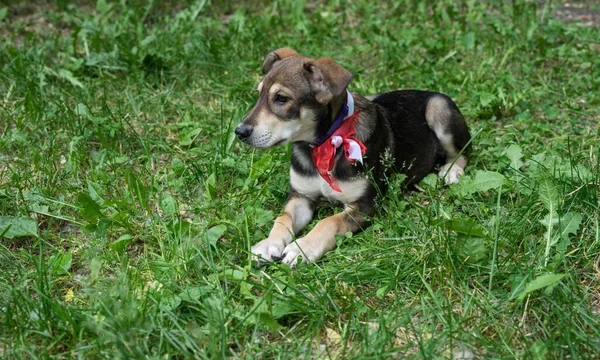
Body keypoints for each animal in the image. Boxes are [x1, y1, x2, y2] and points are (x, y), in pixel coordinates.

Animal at [237, 47, 472, 268]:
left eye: (282, 99)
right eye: (259, 95)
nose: (239, 132)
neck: (324, 145)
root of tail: (427, 92)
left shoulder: (364, 205)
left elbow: (329, 222)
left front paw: (302, 248)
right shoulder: (301, 196)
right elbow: (283, 218)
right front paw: (269, 243)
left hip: (439, 110)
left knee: (464, 151)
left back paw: (451, 171)